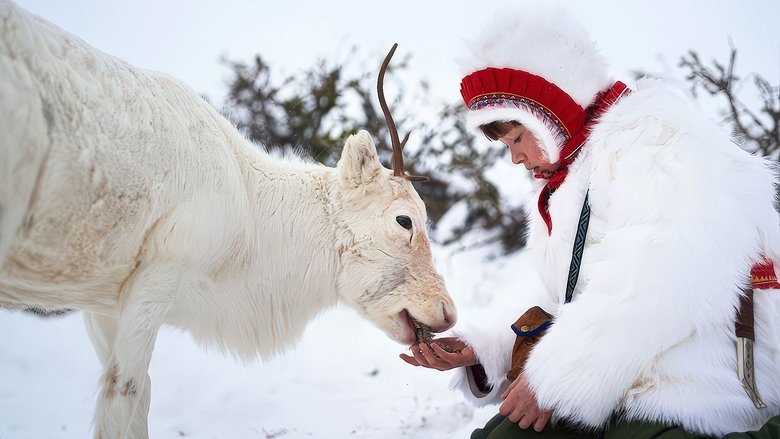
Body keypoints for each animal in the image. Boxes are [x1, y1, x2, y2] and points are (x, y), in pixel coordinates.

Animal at [0, 1, 456, 438]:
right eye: (404, 221)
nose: (448, 312)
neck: (249, 214)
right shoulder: (158, 274)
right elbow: (126, 392)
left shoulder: (101, 305)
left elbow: (134, 395)